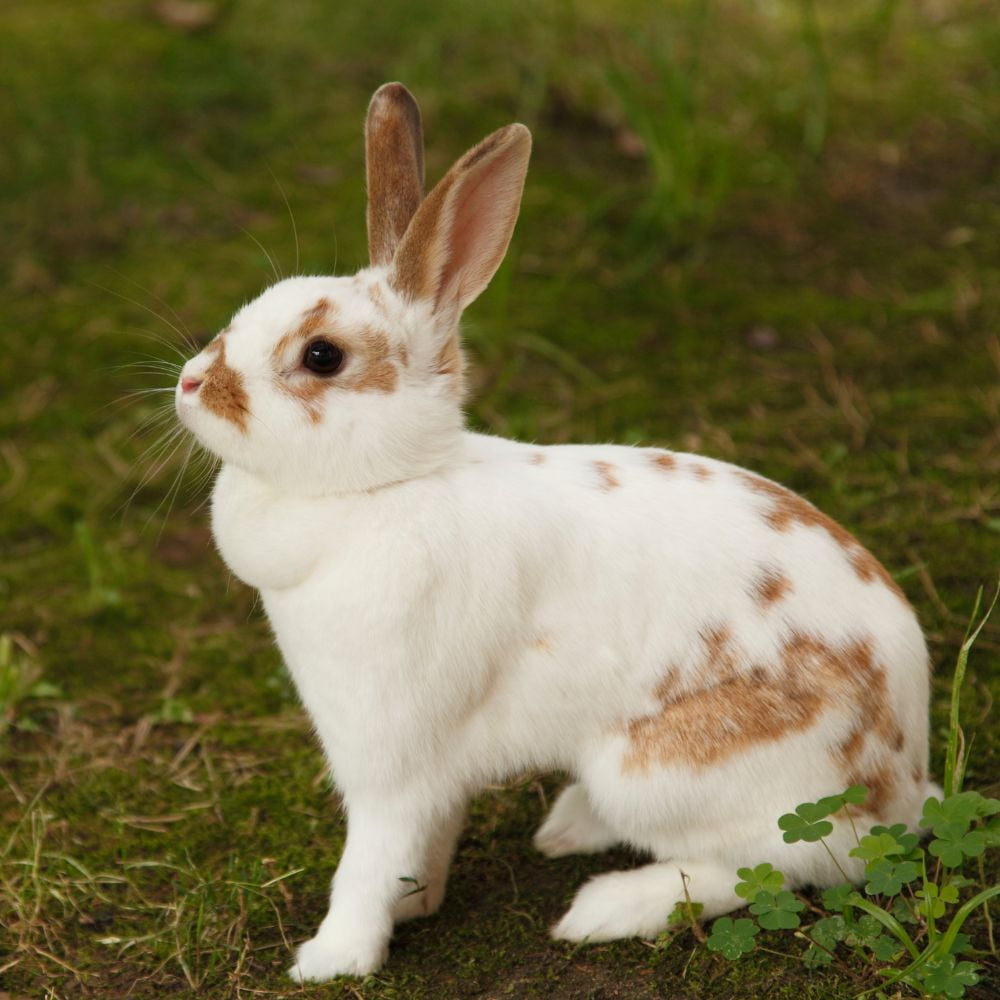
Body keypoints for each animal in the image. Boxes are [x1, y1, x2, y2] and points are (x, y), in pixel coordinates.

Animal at [173, 82, 933, 982]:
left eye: (321, 356)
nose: (190, 384)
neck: (387, 486)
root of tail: (904, 782)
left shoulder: (390, 758)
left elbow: (370, 857)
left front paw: (333, 958)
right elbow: (426, 843)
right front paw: (417, 904)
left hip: (658, 771)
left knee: (777, 864)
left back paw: (605, 908)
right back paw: (570, 825)